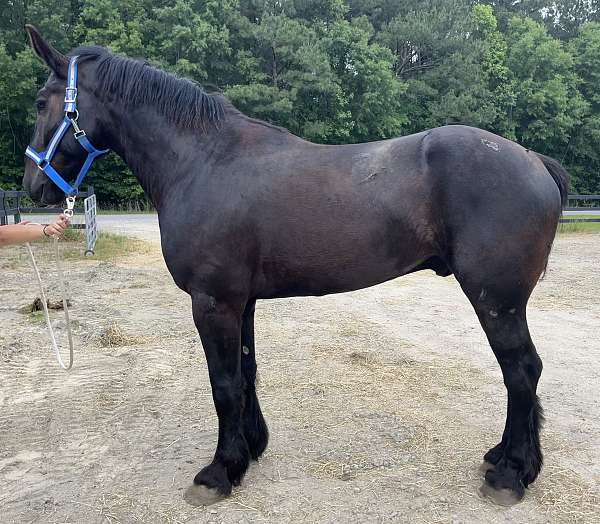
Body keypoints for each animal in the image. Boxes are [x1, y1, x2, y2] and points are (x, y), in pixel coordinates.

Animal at [22, 26, 568, 506]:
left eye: (40, 102)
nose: (34, 186)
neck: (204, 162)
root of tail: (533, 160)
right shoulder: (239, 303)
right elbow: (245, 372)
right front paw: (248, 451)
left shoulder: (213, 302)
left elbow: (223, 385)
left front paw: (219, 472)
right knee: (523, 374)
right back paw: (506, 459)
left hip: (495, 300)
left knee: (521, 371)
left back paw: (511, 475)